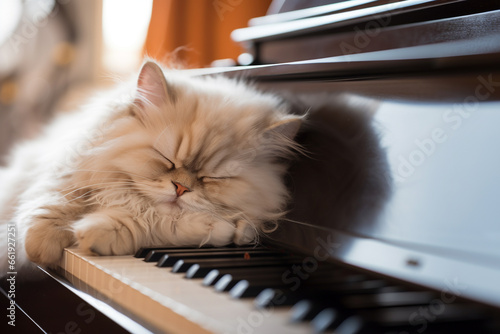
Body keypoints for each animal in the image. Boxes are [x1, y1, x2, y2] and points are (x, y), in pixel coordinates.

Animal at [0, 60, 300, 272]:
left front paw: (91, 233)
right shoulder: (70, 168)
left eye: (212, 178)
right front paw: (40, 247)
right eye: (167, 159)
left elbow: (151, 223)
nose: (180, 188)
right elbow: (53, 201)